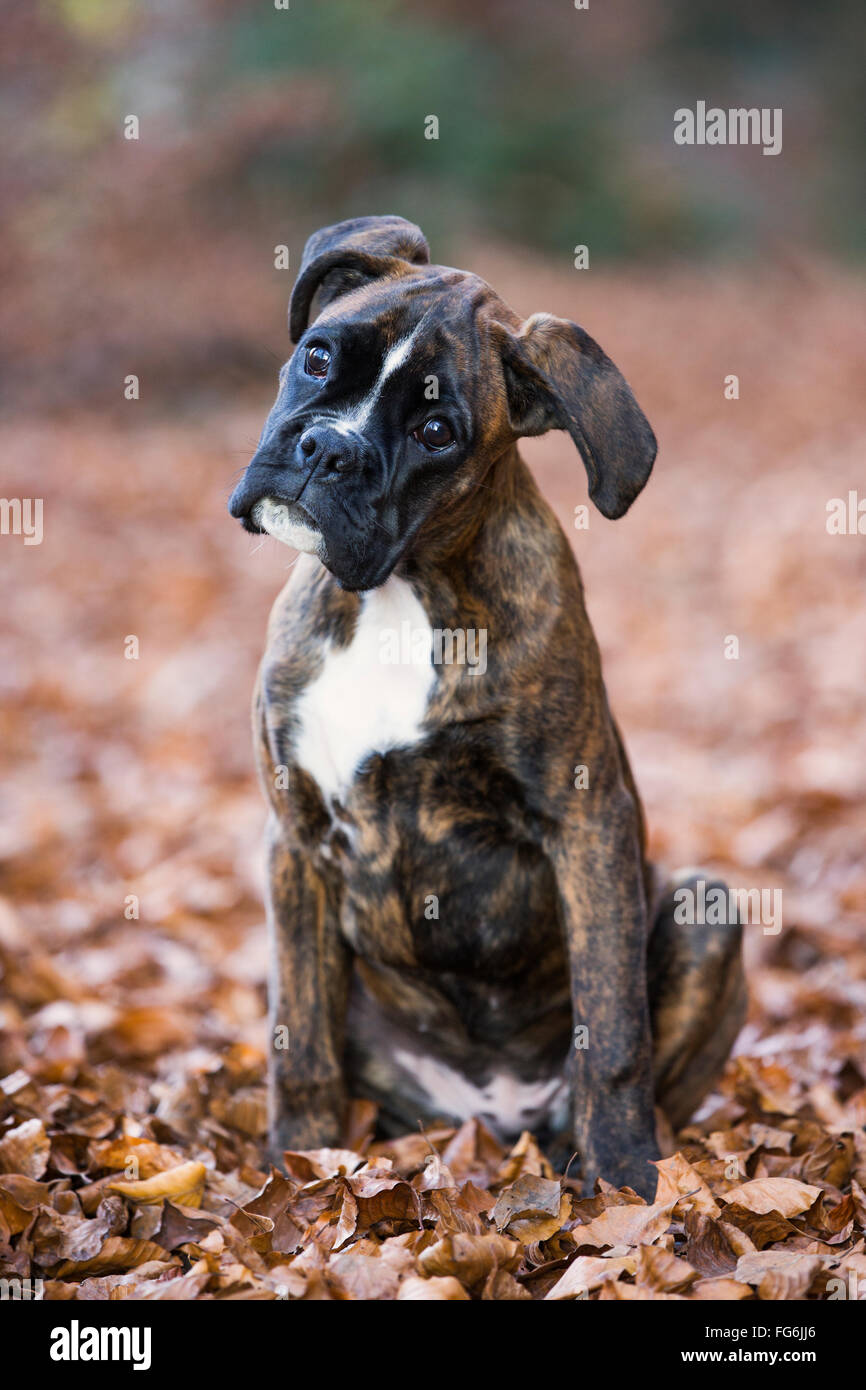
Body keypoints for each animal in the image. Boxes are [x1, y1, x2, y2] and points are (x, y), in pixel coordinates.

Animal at [229, 216, 745, 1195]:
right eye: (318, 357)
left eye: (437, 430)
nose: (329, 450)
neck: (404, 591)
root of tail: (491, 1123)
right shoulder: (295, 840)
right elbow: (300, 1038)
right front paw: (295, 1169)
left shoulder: (584, 819)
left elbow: (611, 1029)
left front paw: (628, 1179)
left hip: (711, 909)